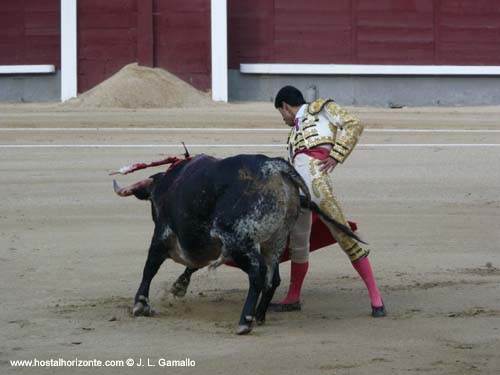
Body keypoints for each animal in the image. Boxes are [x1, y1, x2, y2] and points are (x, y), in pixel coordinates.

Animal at [114, 154, 362, 336]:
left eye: (152, 201)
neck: (169, 183)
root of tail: (276, 167)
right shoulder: (206, 245)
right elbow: (191, 265)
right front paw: (178, 286)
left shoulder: (162, 235)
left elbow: (150, 266)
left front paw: (140, 304)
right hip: (275, 241)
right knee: (273, 278)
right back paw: (259, 316)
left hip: (239, 243)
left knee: (257, 273)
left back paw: (245, 321)